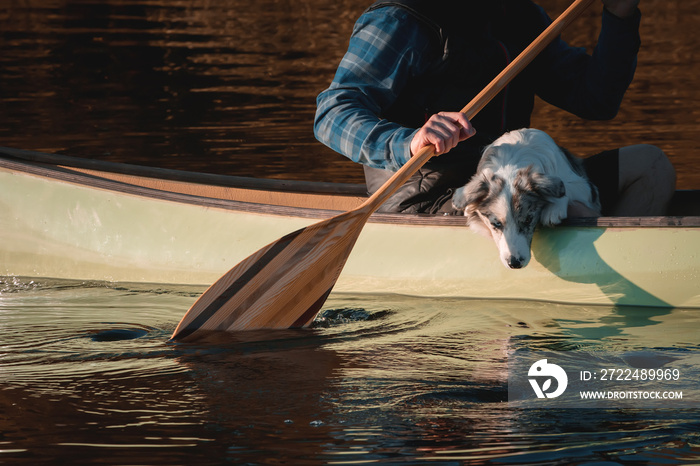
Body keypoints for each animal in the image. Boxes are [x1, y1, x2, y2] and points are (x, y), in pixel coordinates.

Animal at [454, 127, 600, 270]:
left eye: (529, 219)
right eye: (496, 224)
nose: (514, 263)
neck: (510, 164)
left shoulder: (585, 186)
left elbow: (564, 185)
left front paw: (554, 209)